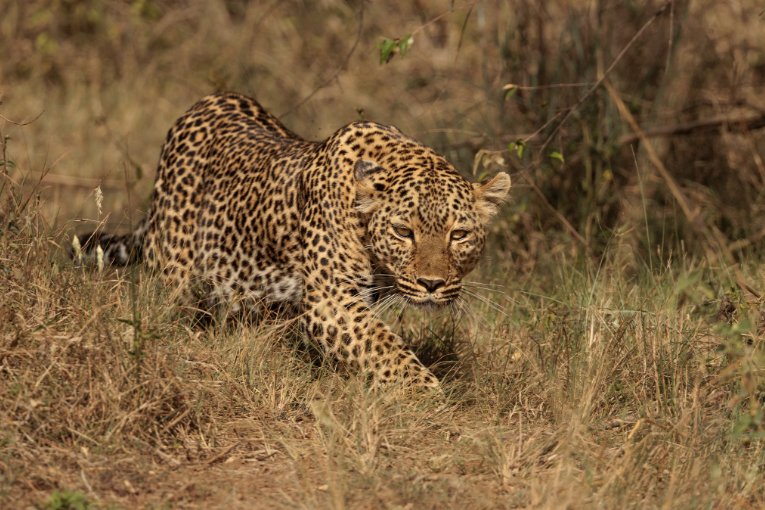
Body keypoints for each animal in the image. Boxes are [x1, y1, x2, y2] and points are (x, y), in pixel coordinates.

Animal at [74, 92, 511, 389]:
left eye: (459, 234)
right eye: (404, 232)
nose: (432, 285)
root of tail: (204, 103)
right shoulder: (332, 300)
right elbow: (385, 348)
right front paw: (430, 398)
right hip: (173, 274)